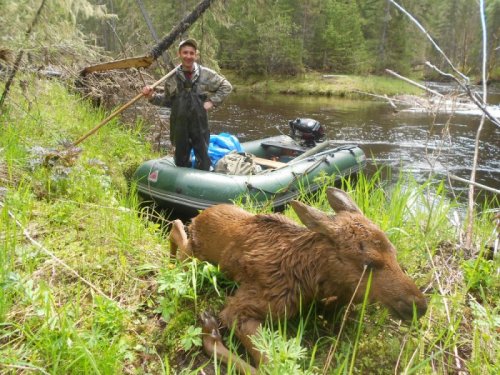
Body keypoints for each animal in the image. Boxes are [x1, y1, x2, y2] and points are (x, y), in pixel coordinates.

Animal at [170, 188, 428, 374]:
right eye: (369, 263)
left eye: (394, 252)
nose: (419, 305)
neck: (309, 276)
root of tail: (200, 216)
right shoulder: (248, 305)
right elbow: (270, 365)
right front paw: (209, 330)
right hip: (194, 254)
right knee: (176, 230)